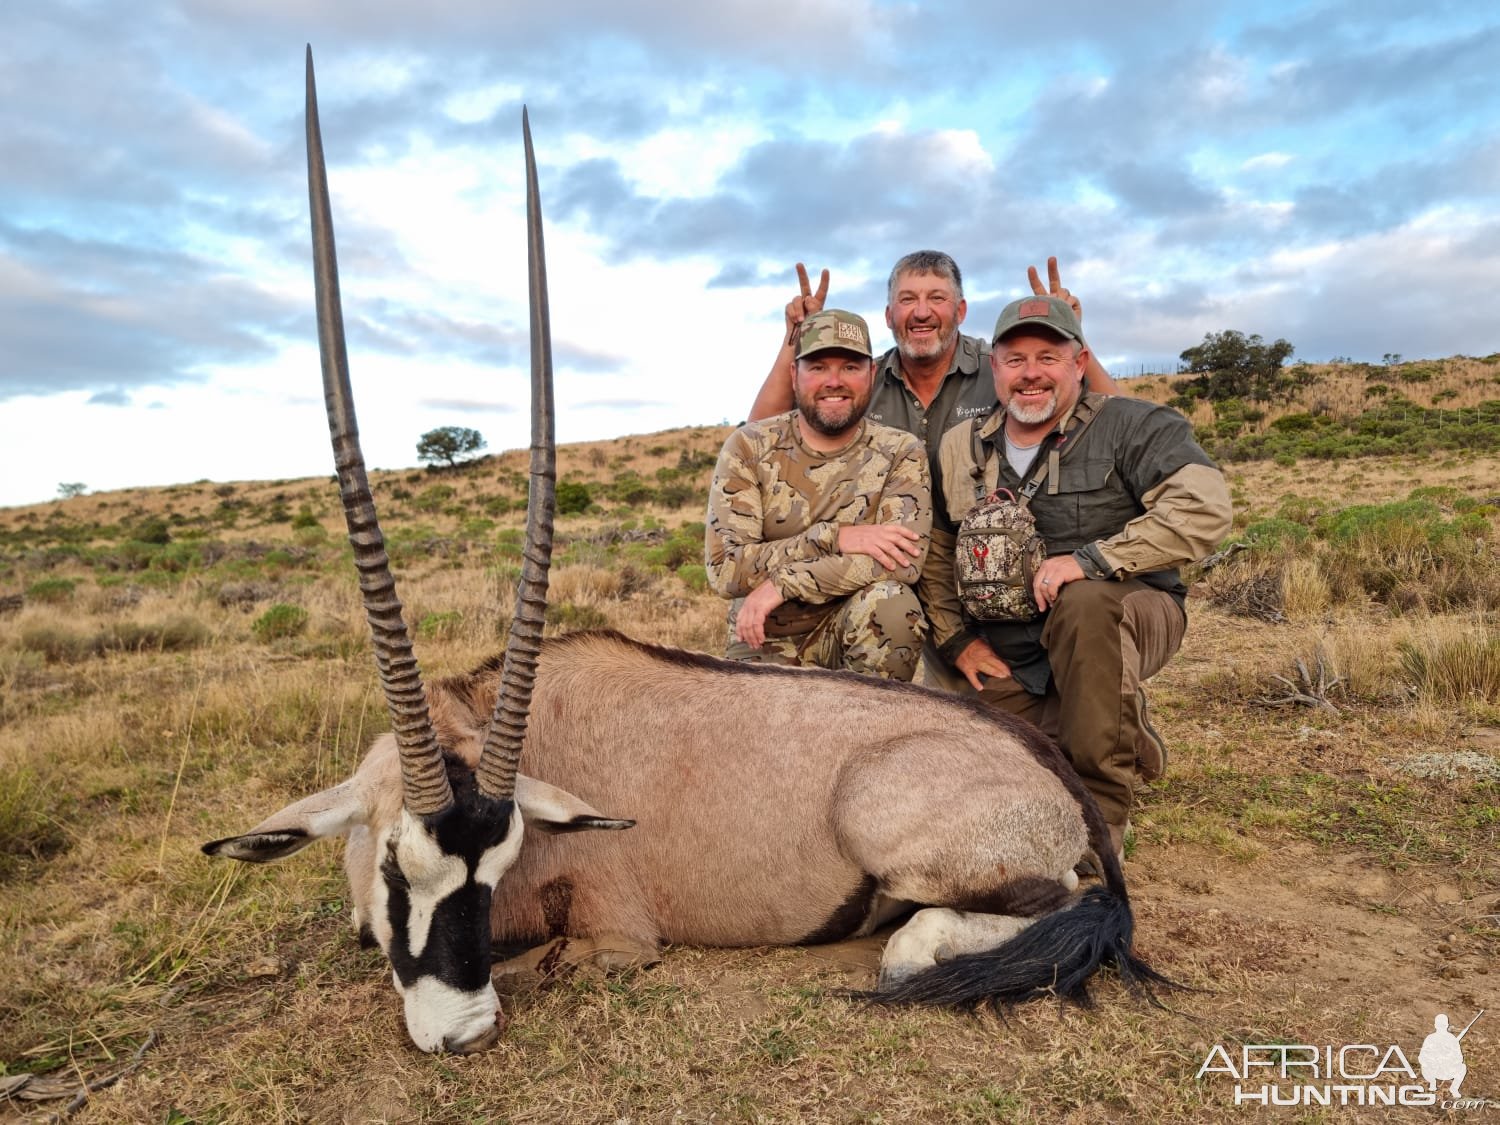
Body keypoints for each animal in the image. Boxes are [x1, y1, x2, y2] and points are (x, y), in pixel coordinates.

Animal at [205, 48, 1164, 1056]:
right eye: (396, 864)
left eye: (494, 866)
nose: (462, 1029)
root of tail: (1056, 781)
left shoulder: (613, 930)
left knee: (989, 920)